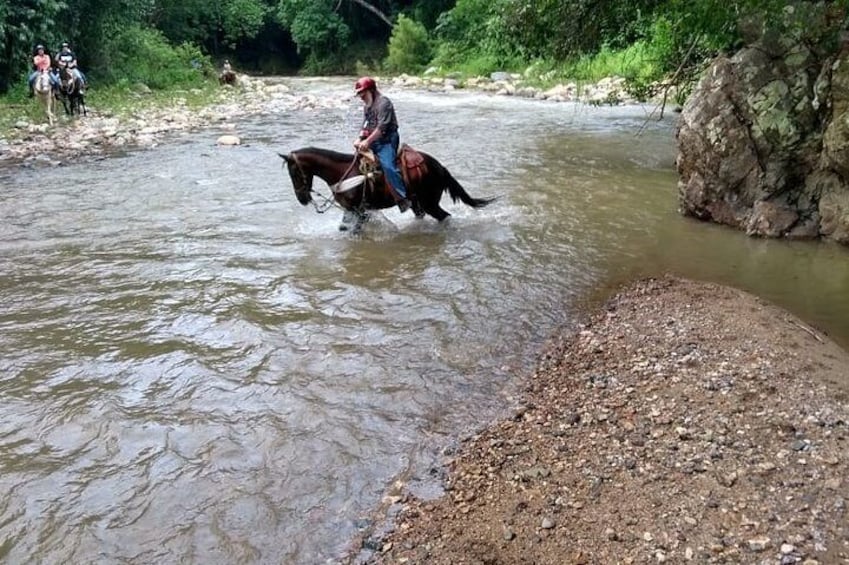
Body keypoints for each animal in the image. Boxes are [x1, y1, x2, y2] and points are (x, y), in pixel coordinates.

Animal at [280, 147, 490, 232]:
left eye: (294, 172)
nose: (302, 199)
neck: (342, 173)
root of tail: (440, 167)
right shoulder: (352, 210)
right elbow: (344, 228)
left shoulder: (360, 210)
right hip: (417, 203)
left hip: (429, 203)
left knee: (444, 217)